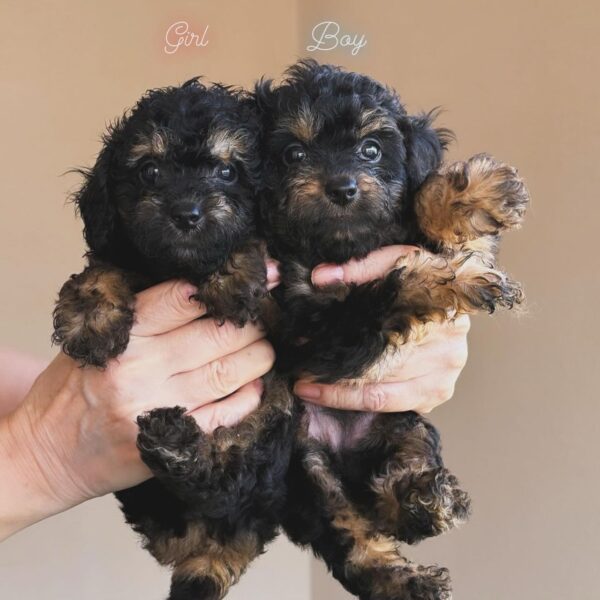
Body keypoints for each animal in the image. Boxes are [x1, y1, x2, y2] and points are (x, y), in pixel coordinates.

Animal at [55, 81, 294, 600]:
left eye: (227, 171)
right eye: (151, 170)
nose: (187, 213)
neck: (176, 267)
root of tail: (208, 541)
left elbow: (250, 247)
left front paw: (231, 272)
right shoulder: (123, 250)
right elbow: (102, 268)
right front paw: (90, 320)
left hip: (270, 431)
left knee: (227, 474)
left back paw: (177, 444)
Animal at [255, 61, 528, 600]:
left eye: (371, 150)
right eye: (294, 154)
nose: (342, 188)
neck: (339, 246)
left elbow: (423, 213)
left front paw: (477, 193)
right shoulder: (313, 330)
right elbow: (392, 286)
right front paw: (460, 280)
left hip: (405, 426)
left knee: (389, 497)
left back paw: (420, 500)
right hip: (307, 469)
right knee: (356, 539)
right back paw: (409, 567)